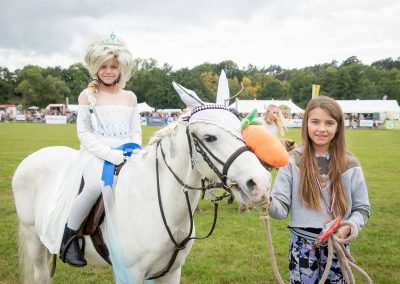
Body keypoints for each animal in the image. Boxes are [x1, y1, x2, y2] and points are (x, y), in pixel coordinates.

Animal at [12, 81, 272, 282]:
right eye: (210, 137)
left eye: (242, 130)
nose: (260, 184)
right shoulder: (130, 274)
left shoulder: (170, 273)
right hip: (34, 239)